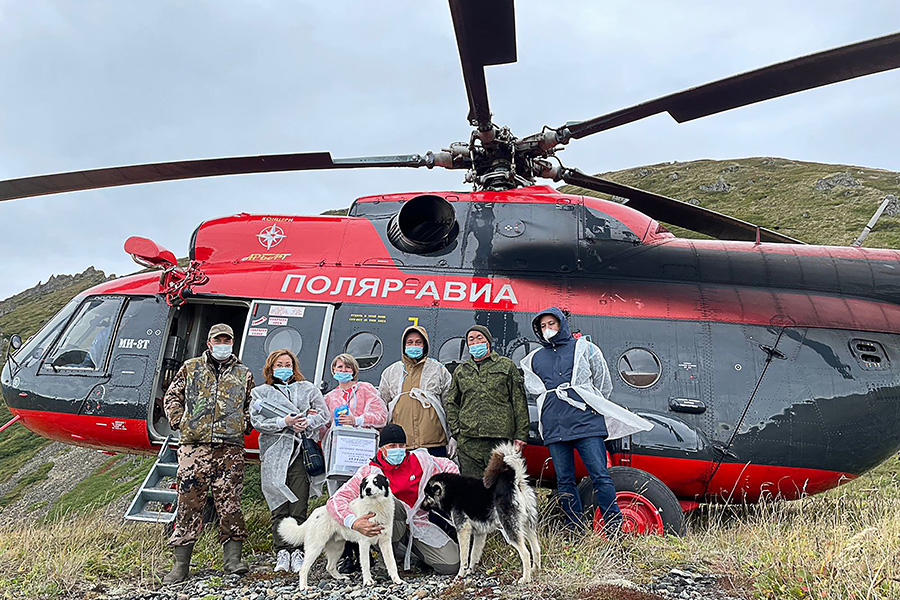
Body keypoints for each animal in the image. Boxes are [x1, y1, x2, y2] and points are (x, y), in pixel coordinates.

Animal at [420, 440, 536, 580]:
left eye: (427, 495)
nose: (420, 506)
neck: (450, 491)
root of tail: (515, 481)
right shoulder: (480, 533)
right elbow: (474, 554)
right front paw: (470, 571)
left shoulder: (463, 530)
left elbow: (464, 556)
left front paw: (460, 574)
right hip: (527, 526)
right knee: (536, 549)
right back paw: (536, 569)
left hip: (510, 527)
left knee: (526, 553)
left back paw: (525, 579)